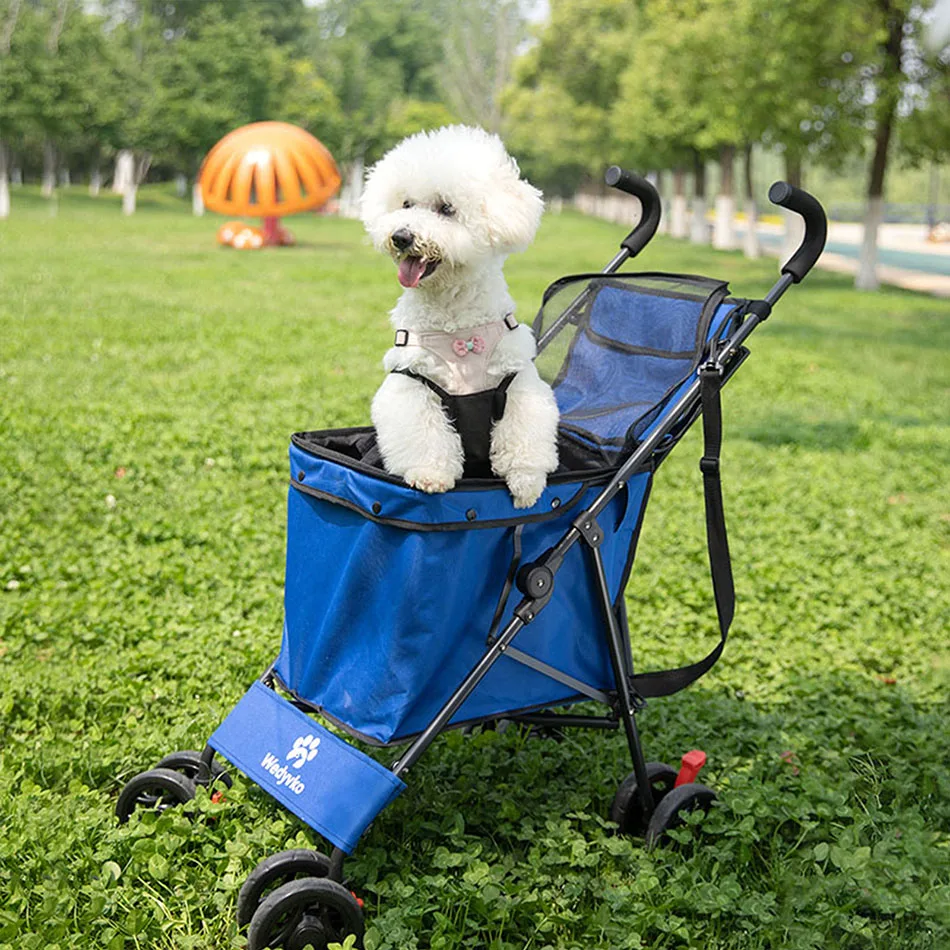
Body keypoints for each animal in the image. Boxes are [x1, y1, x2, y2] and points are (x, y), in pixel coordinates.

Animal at [360, 130, 560, 512]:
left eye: (447, 209)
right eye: (406, 204)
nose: (401, 236)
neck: (456, 322)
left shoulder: (517, 381)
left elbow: (524, 433)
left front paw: (527, 482)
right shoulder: (412, 381)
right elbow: (424, 433)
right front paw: (430, 475)